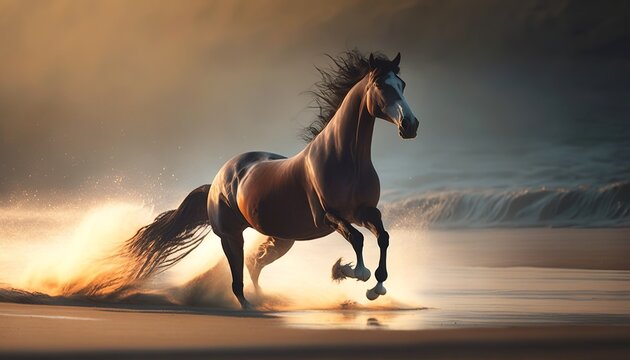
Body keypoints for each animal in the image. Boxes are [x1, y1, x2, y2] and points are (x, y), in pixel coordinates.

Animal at [123, 51, 420, 310]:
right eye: (380, 85)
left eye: (403, 84)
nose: (410, 125)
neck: (344, 159)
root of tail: (217, 181)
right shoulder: (329, 216)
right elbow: (357, 238)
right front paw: (351, 271)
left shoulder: (364, 211)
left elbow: (383, 237)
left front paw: (375, 287)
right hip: (231, 237)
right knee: (239, 277)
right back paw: (250, 306)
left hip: (282, 239)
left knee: (255, 265)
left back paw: (265, 300)